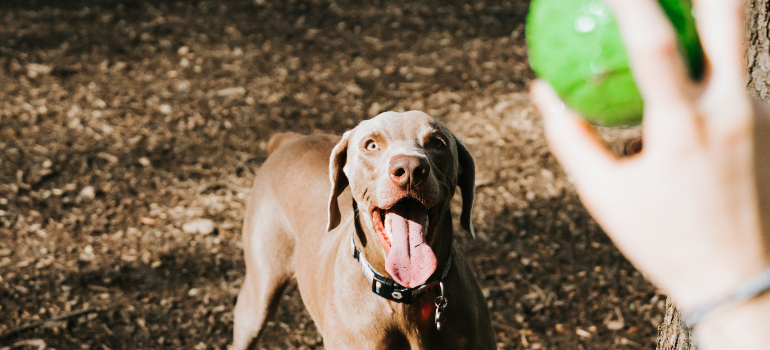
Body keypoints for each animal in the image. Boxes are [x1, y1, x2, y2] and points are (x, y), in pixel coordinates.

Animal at [230, 111, 492, 350]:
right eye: (371, 144)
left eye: (438, 143)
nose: (409, 168)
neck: (405, 299)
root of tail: (288, 140)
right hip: (258, 296)